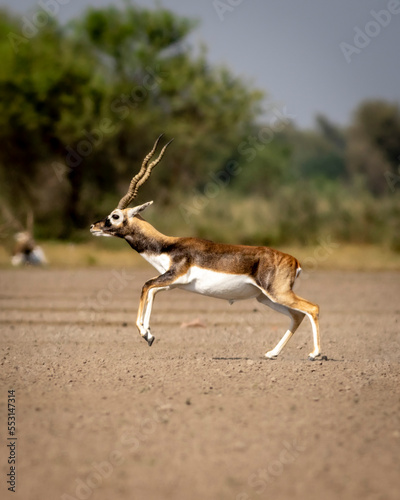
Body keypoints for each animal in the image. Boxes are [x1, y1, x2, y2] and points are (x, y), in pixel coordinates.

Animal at [89, 133, 320, 360]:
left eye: (115, 216)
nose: (93, 226)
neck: (167, 245)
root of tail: (294, 260)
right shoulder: (174, 282)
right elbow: (152, 291)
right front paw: (149, 335)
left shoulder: (172, 276)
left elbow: (146, 285)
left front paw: (145, 333)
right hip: (265, 297)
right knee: (297, 316)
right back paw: (272, 353)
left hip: (278, 294)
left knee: (312, 308)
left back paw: (314, 354)